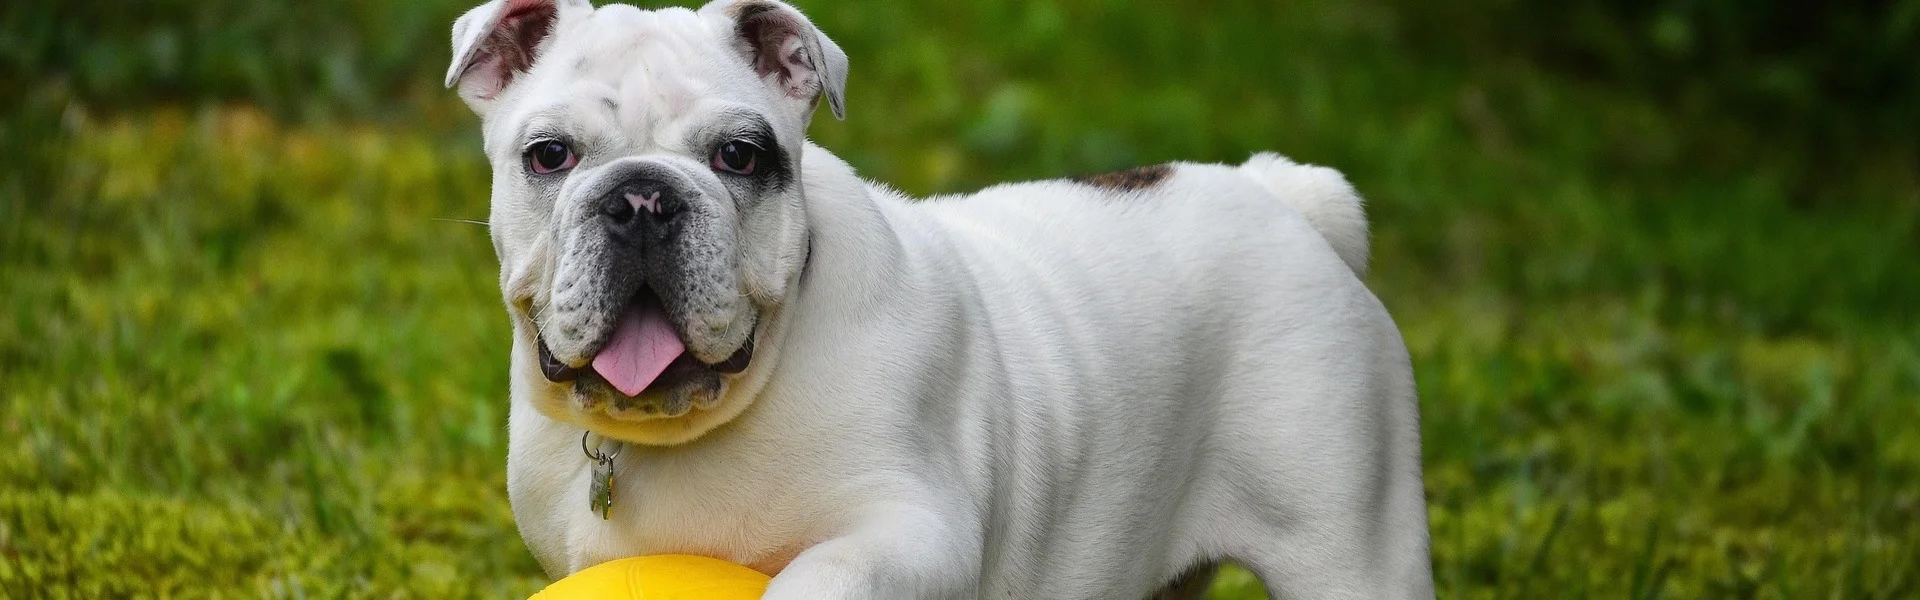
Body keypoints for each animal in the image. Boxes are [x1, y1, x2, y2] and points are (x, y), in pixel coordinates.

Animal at [445, 0, 1433, 597]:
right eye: (549, 155)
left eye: (740, 156)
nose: (643, 197)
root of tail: (1280, 193)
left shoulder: (912, 533)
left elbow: (816, 576)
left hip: (1347, 542)